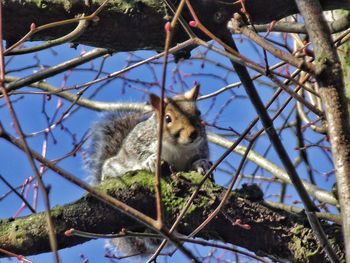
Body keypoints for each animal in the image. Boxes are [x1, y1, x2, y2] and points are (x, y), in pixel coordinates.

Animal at [85, 84, 211, 260]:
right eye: (167, 118)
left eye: (198, 113)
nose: (193, 134)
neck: (178, 147)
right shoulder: (139, 141)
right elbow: (140, 153)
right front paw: (150, 160)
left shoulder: (200, 148)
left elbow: (198, 160)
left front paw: (202, 164)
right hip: (114, 167)